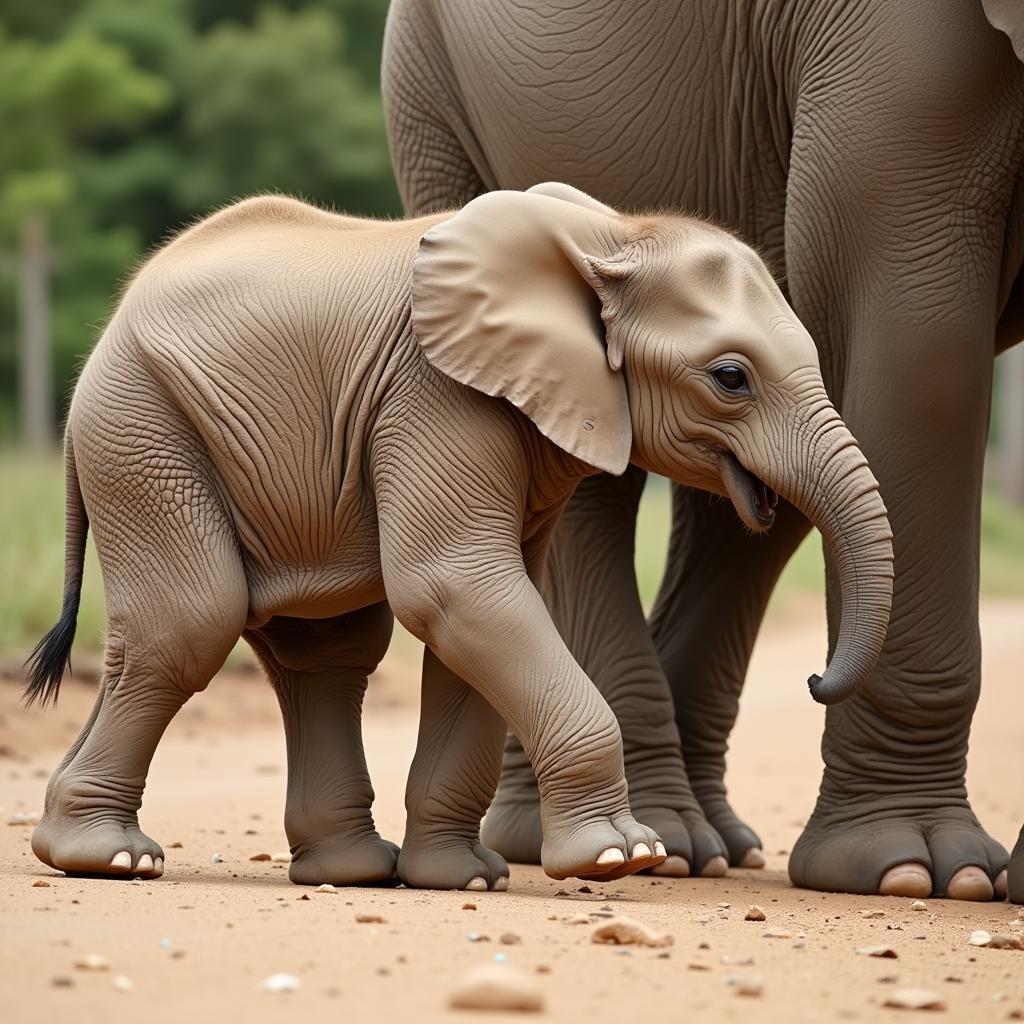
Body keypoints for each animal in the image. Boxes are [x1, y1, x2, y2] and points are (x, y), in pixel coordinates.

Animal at [25, 182, 897, 888]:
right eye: (730, 378)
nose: (815, 678)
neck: (613, 235)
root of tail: (102, 339)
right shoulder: (437, 394)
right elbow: (457, 588)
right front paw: (624, 856)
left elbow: (481, 611)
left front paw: (466, 878)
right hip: (143, 428)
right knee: (193, 620)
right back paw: (109, 859)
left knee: (325, 648)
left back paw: (348, 871)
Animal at [380, 0, 1019, 897]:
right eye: (728, 377)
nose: (816, 677)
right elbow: (918, 353)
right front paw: (919, 872)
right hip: (434, 97)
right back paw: (652, 846)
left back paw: (699, 844)